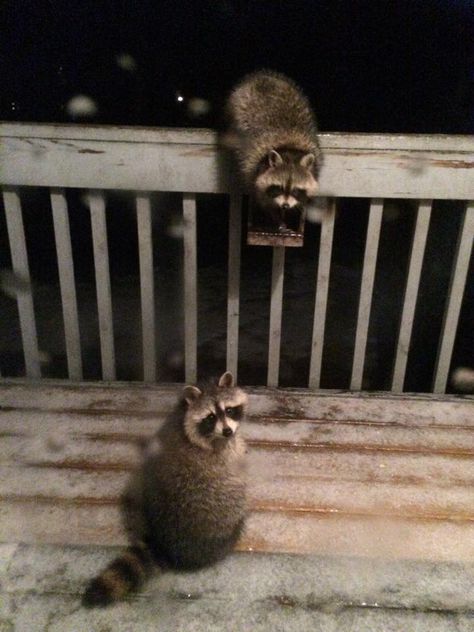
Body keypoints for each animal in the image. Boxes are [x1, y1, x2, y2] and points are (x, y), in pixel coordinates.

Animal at [82, 370, 248, 608]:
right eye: (210, 417)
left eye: (228, 410)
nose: (227, 431)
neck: (182, 412)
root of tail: (164, 545)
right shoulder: (225, 452)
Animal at [223, 70, 322, 232]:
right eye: (278, 188)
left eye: (296, 190)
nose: (285, 206)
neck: (289, 149)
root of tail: (261, 76)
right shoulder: (255, 175)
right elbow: (264, 203)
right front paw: (278, 220)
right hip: (235, 105)